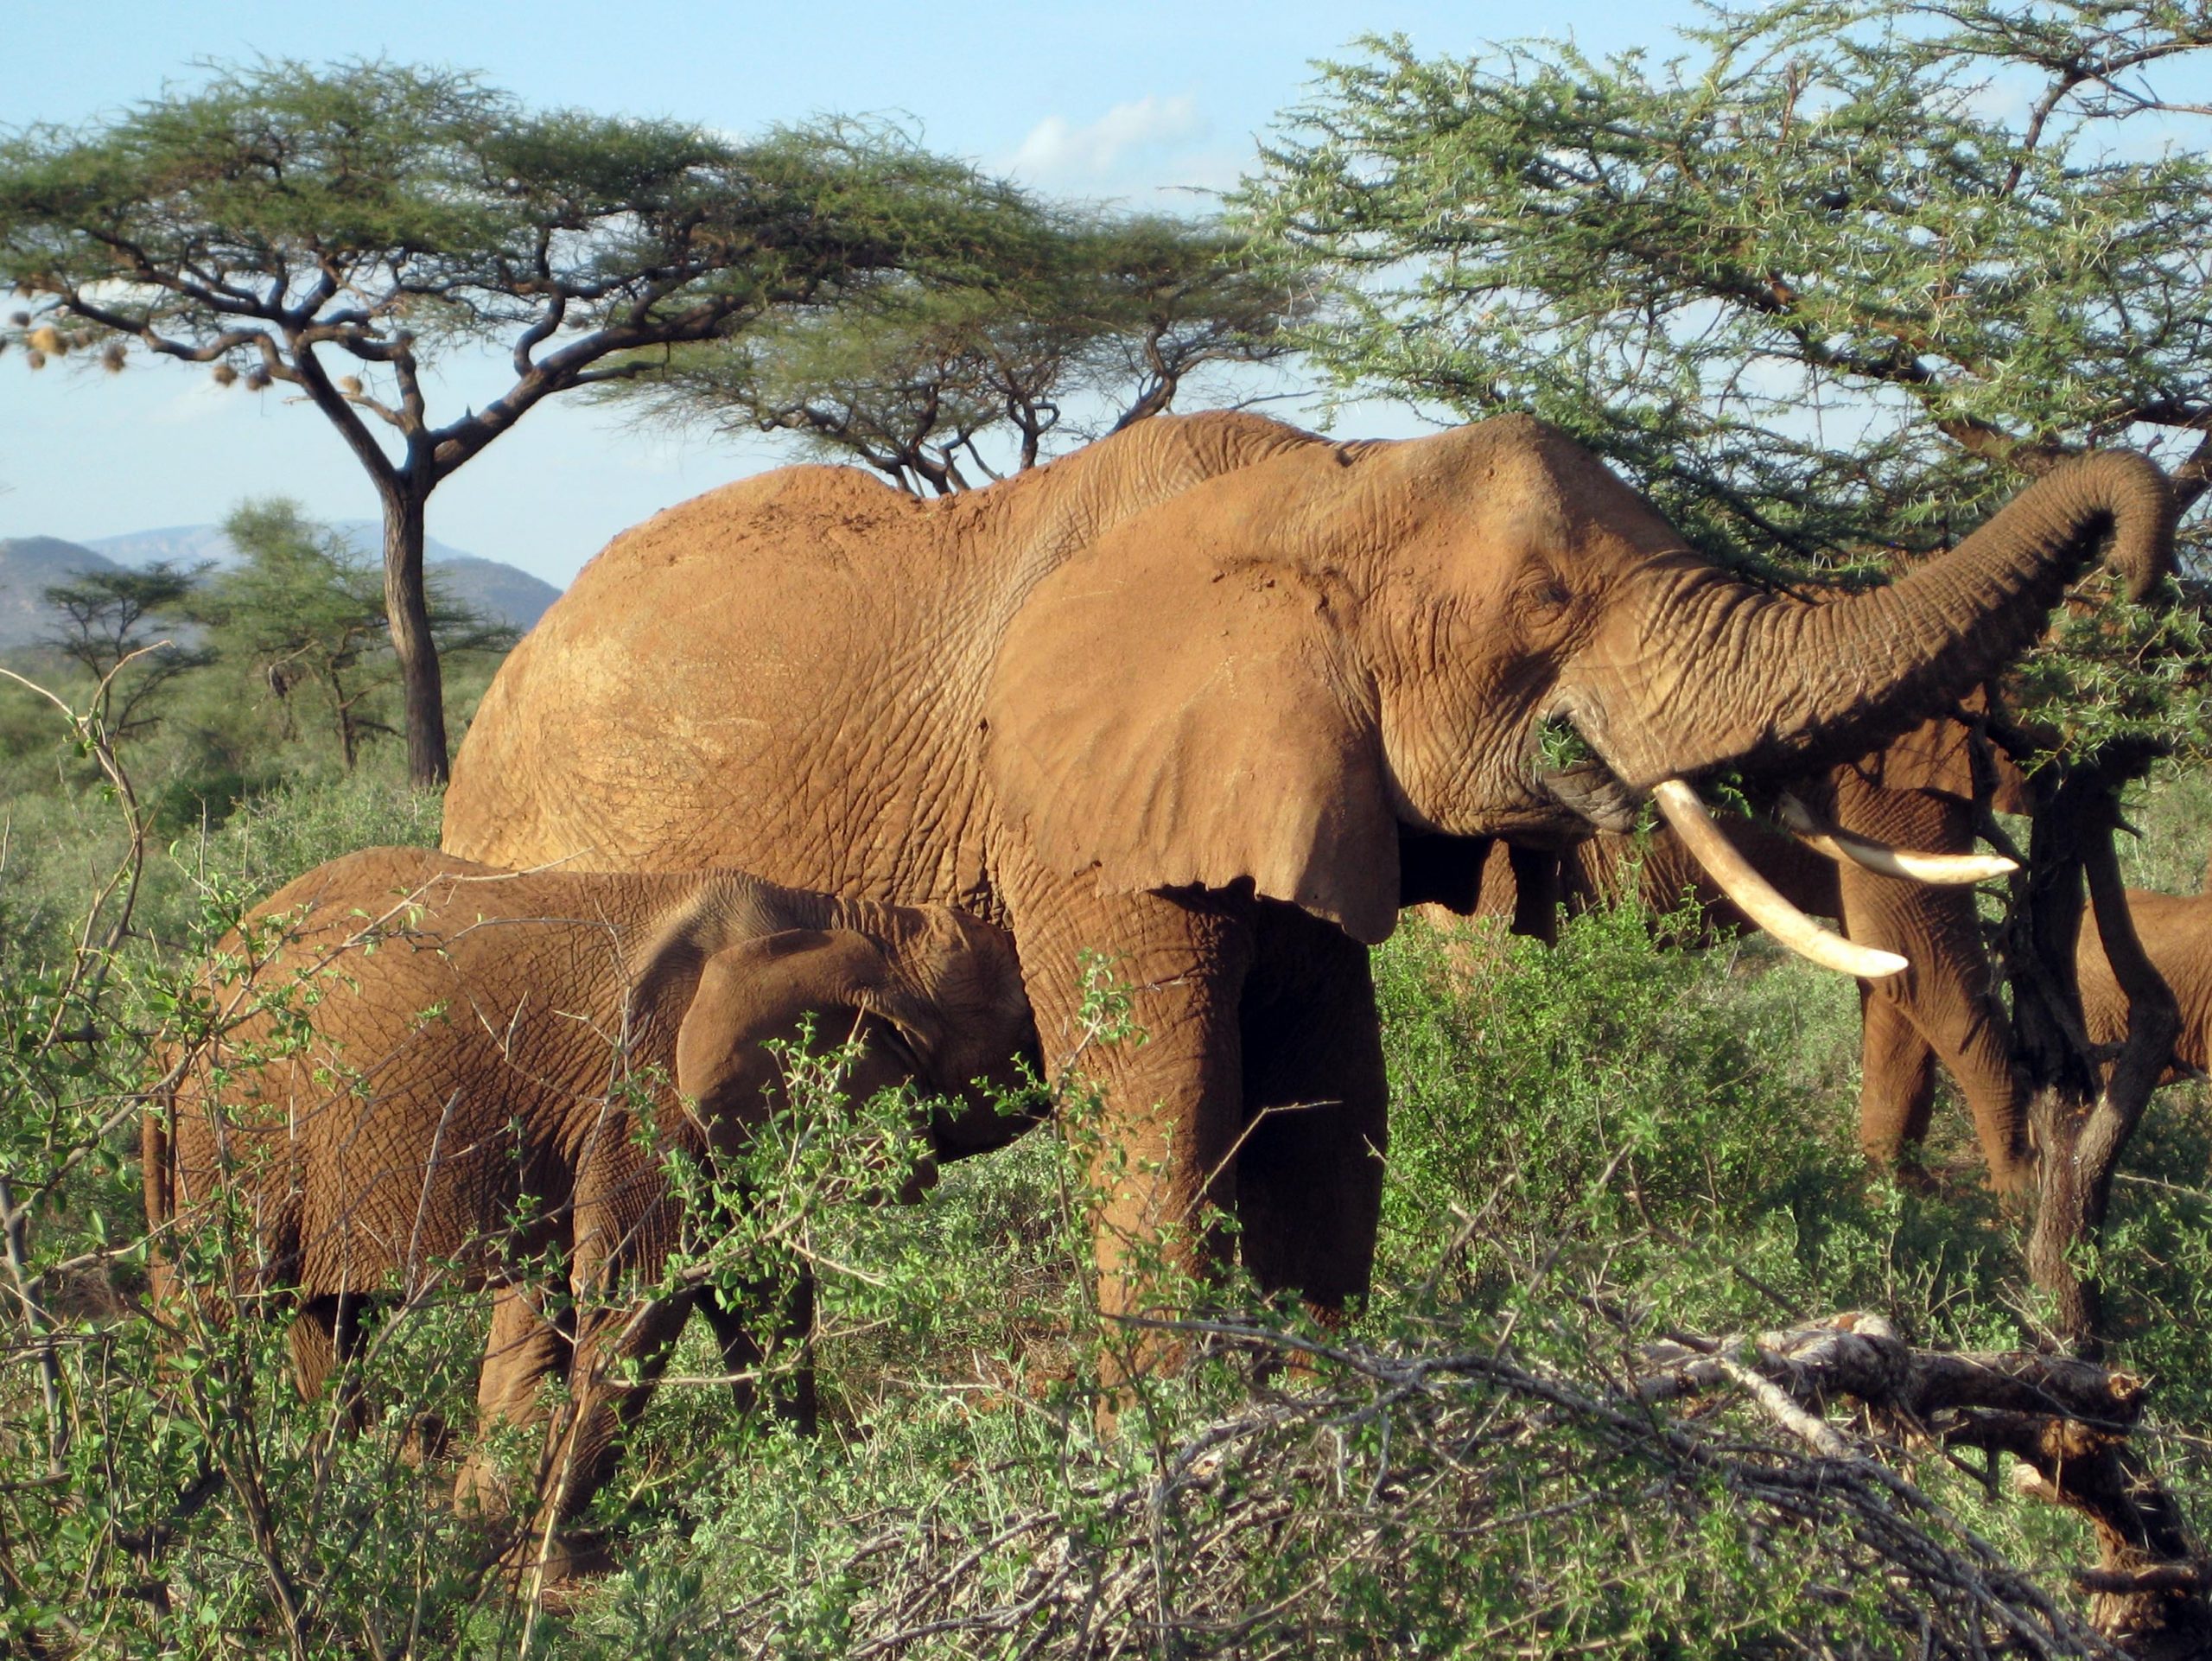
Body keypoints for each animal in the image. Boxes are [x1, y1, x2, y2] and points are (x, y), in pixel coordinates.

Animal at [151, 857, 1039, 1548]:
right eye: (1026, 1036)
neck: (849, 923)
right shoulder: (643, 1092)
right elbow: (634, 1302)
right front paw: (541, 1568)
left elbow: (757, 1293)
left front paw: (799, 1488)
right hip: (231, 1133)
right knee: (218, 1322)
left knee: (324, 1321)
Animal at [440, 409, 2167, 1345]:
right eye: (1549, 602)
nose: (2153, 542)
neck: (1323, 488)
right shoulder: (1072, 816)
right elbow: (1166, 1135)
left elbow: (1330, 1136)